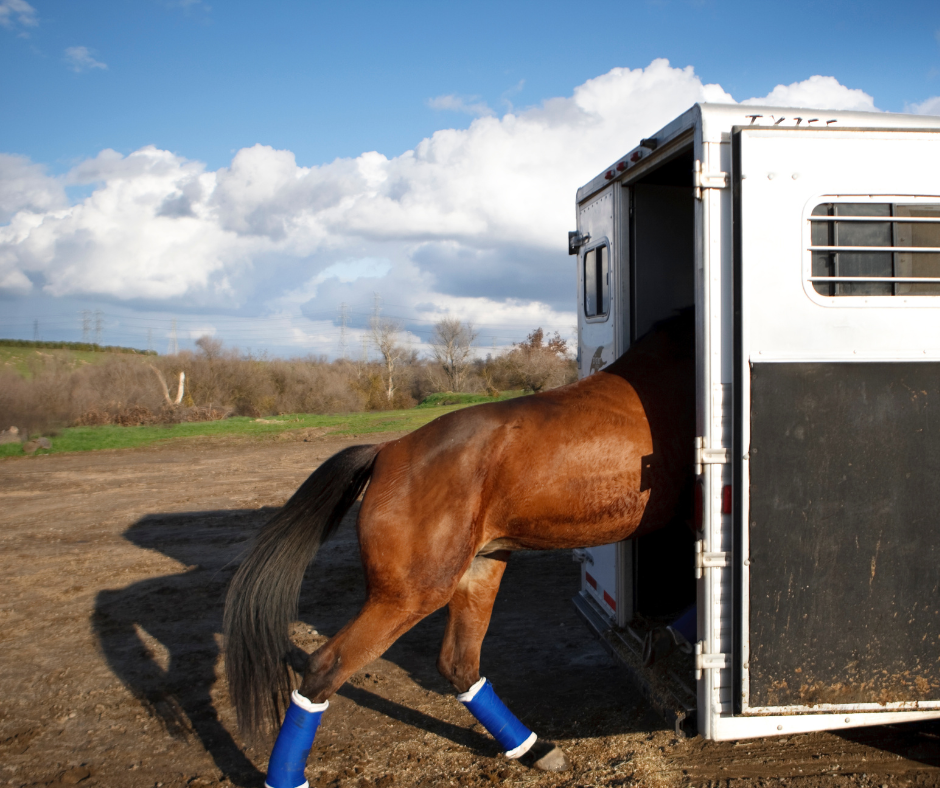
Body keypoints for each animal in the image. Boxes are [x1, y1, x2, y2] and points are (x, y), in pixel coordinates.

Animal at [224, 310, 692, 784]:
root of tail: (387, 451)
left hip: (480, 568)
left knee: (458, 665)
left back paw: (534, 748)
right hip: (410, 595)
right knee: (325, 668)